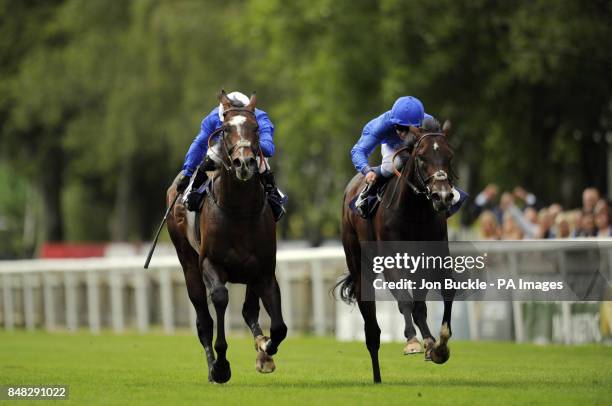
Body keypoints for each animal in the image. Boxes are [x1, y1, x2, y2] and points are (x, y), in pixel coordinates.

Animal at [165, 91, 284, 384]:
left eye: (256, 128)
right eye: (226, 129)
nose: (245, 163)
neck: (239, 210)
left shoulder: (264, 270)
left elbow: (279, 327)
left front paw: (265, 351)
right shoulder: (210, 263)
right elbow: (219, 299)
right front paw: (221, 365)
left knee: (249, 311)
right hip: (188, 263)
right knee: (203, 320)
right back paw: (212, 367)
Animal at [340, 118, 454, 384]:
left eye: (449, 155)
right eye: (421, 157)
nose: (442, 196)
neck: (414, 211)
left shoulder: (433, 257)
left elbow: (445, 293)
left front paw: (439, 346)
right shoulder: (391, 259)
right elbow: (404, 300)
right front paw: (412, 342)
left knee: (419, 306)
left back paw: (429, 343)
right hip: (361, 266)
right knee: (372, 327)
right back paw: (377, 376)